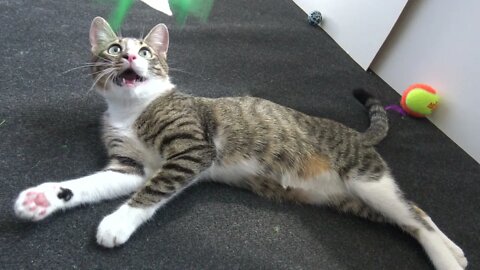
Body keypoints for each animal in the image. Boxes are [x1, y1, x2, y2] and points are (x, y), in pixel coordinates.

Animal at [14, 17, 464, 270]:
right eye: (112, 49)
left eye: (145, 51)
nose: (129, 58)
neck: (131, 109)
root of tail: (354, 133)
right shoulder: (130, 167)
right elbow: (93, 183)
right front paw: (42, 198)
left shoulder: (194, 150)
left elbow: (153, 190)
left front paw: (117, 222)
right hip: (350, 198)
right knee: (412, 212)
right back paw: (455, 249)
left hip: (364, 179)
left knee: (415, 216)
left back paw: (448, 259)